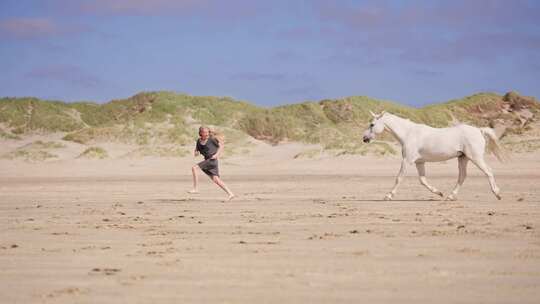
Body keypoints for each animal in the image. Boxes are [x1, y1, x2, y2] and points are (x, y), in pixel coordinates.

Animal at [362, 110, 506, 201]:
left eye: (372, 124)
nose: (364, 139)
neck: (409, 133)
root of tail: (479, 130)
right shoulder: (419, 162)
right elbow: (423, 180)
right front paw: (439, 193)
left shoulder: (407, 160)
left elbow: (399, 178)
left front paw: (388, 196)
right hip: (463, 158)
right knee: (462, 176)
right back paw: (450, 196)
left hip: (475, 157)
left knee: (488, 171)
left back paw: (498, 194)